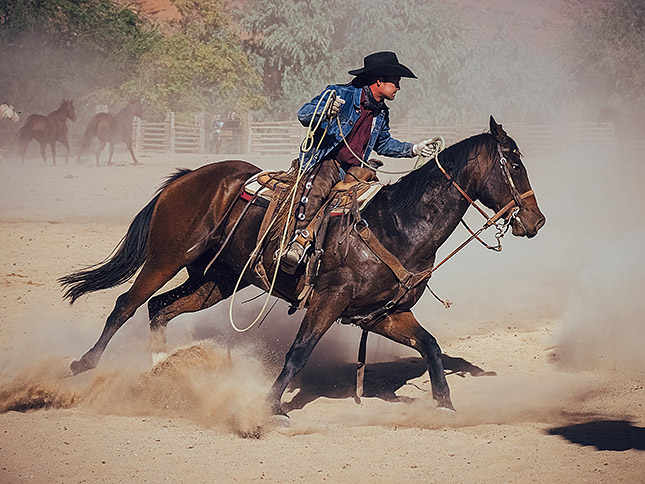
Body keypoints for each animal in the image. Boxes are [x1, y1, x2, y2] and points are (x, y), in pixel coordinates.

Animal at [59, 116, 545, 419]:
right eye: (514, 163)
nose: (537, 221)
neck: (397, 224)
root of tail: (188, 177)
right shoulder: (329, 300)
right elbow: (299, 352)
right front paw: (272, 407)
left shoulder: (384, 313)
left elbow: (430, 346)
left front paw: (445, 406)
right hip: (166, 258)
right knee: (126, 303)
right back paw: (85, 363)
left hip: (216, 281)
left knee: (159, 308)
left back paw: (162, 375)